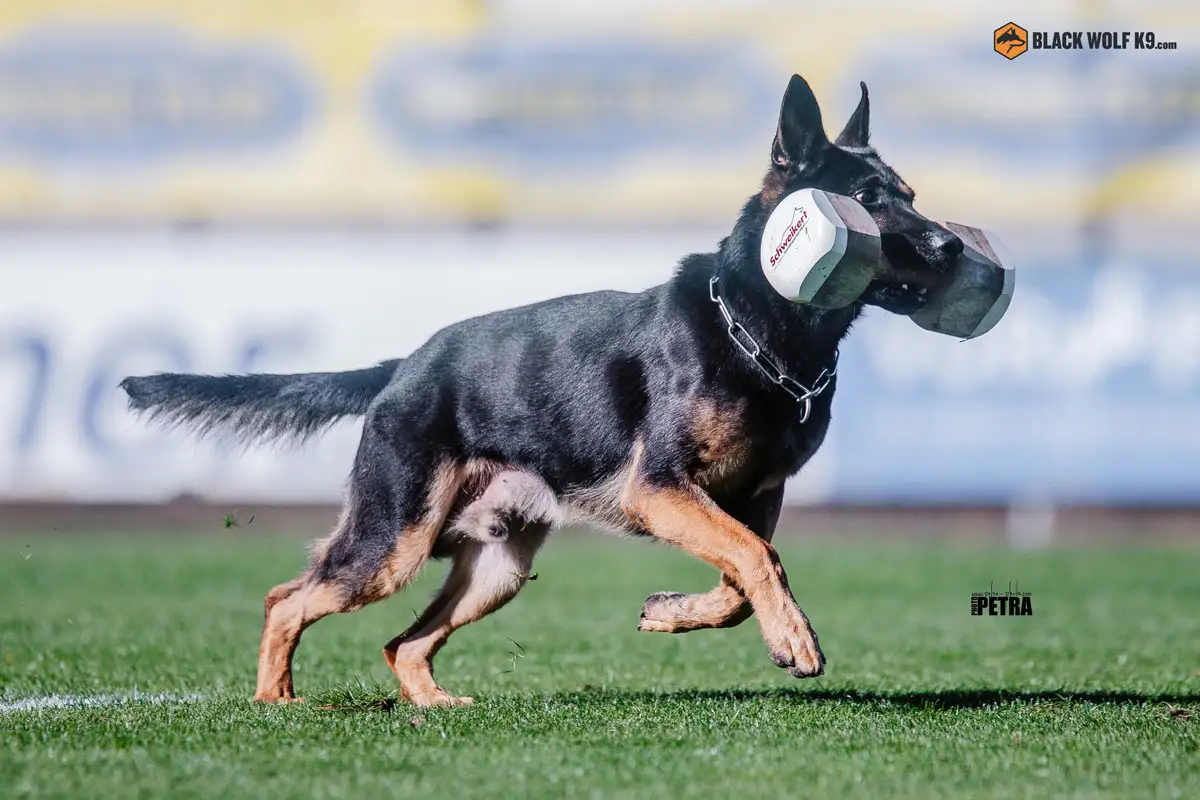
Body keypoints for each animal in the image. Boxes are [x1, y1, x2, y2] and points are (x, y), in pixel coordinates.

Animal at [121, 71, 964, 705]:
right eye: (869, 198)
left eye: (910, 192)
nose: (952, 245)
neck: (756, 329)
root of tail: (406, 367)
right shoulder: (661, 490)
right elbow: (760, 560)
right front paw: (793, 635)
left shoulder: (753, 496)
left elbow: (745, 574)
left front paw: (673, 614)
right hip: (392, 544)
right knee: (287, 600)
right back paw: (277, 702)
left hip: (496, 569)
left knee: (401, 643)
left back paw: (433, 706)